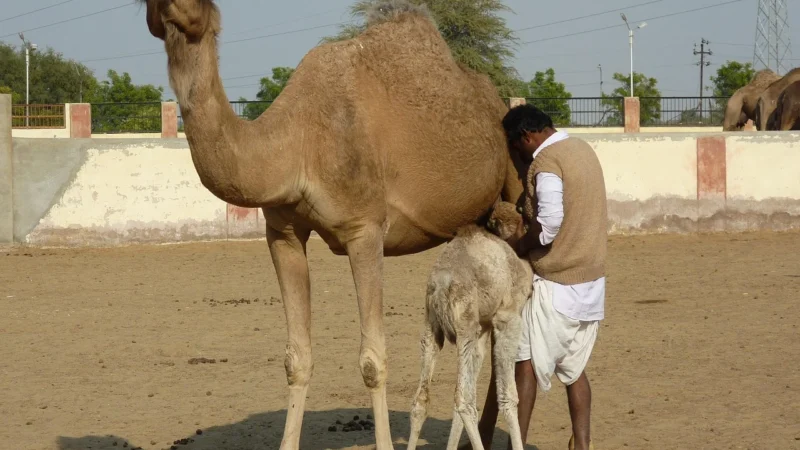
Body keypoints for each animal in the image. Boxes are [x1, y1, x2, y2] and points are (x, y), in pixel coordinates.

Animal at [407, 201, 529, 450]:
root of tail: (441, 286)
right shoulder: (507, 318)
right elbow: (508, 396)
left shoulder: (482, 328)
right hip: (465, 327)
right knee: (464, 401)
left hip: (433, 327)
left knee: (422, 400)